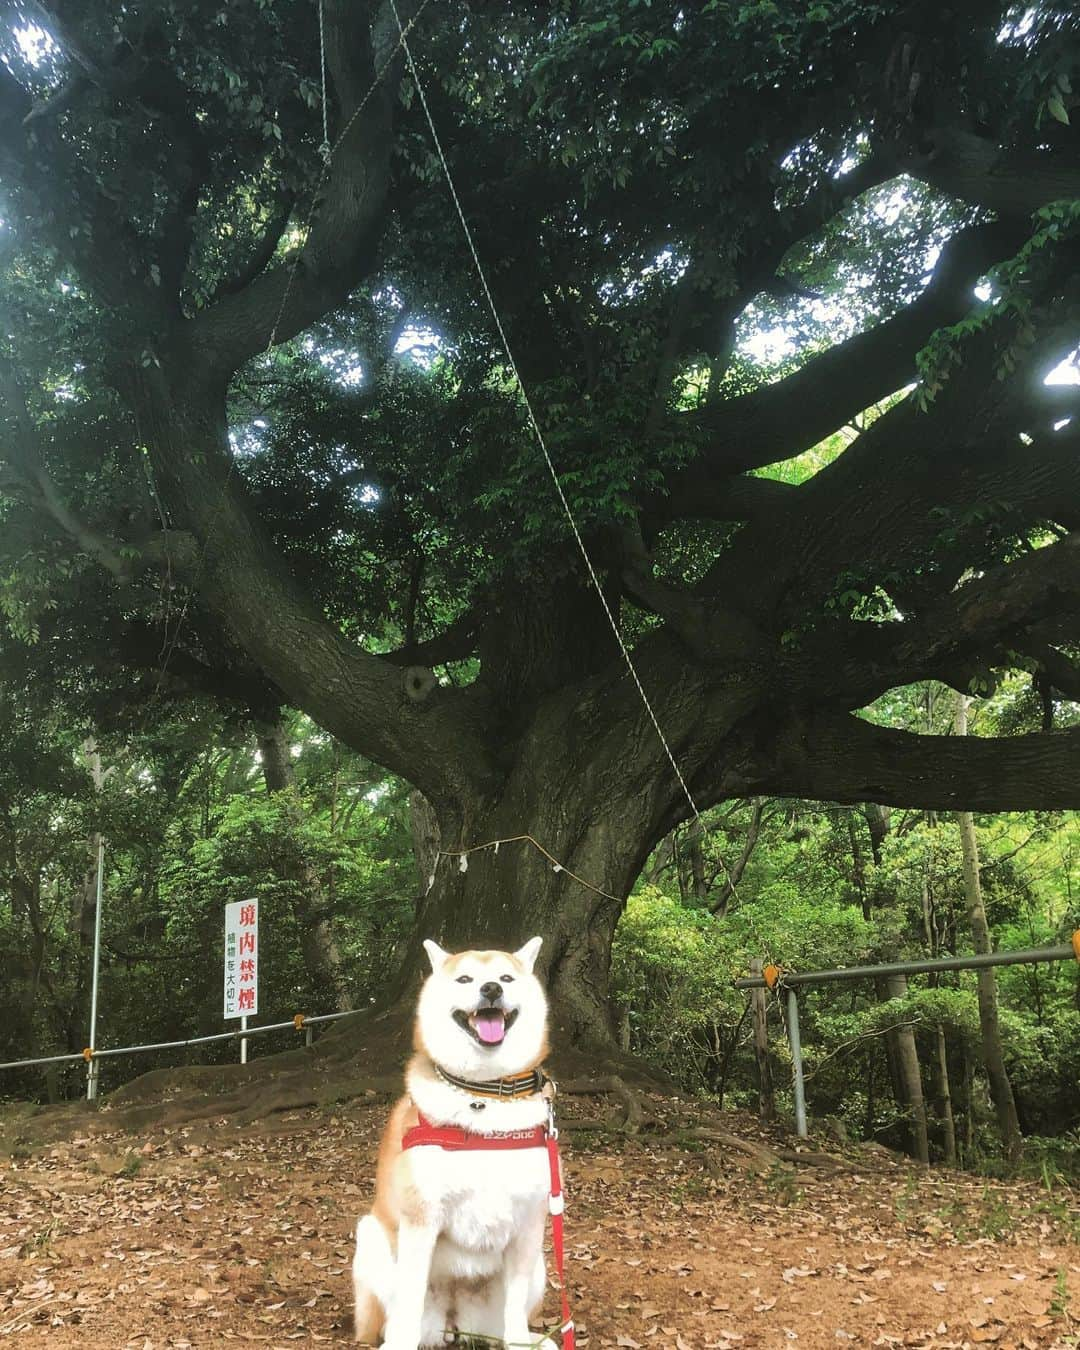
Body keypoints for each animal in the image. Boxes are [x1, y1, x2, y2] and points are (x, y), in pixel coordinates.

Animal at [351, 939, 556, 1350]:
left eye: (506, 977)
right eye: (465, 979)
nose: (491, 988)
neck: (484, 1094)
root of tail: (453, 1321)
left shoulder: (529, 1224)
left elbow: (514, 1306)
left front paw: (520, 1341)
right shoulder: (421, 1219)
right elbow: (411, 1295)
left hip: (537, 1269)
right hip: (372, 1237)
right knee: (392, 1319)